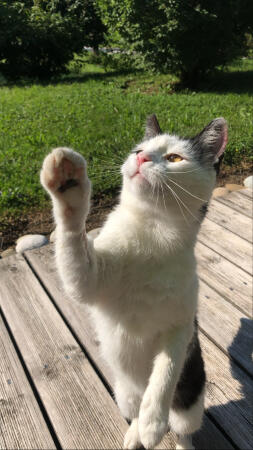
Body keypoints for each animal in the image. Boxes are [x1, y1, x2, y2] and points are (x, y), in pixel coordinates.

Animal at [40, 114, 227, 448]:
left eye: (174, 158)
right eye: (139, 149)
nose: (140, 158)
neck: (151, 231)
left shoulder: (181, 326)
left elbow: (166, 371)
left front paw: (154, 422)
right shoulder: (90, 279)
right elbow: (73, 243)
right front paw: (69, 185)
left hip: (190, 403)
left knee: (181, 426)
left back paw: (167, 434)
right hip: (123, 394)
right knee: (135, 411)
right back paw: (134, 433)